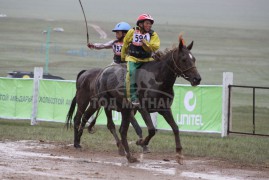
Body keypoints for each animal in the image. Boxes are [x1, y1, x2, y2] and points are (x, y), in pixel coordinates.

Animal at [72, 37, 200, 165]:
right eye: (184, 59)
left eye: (193, 59)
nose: (197, 79)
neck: (157, 80)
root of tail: (100, 74)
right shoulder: (142, 108)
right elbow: (152, 130)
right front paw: (142, 142)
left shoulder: (164, 109)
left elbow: (175, 128)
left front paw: (179, 155)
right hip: (100, 103)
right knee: (106, 124)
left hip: (122, 109)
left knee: (120, 130)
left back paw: (129, 156)